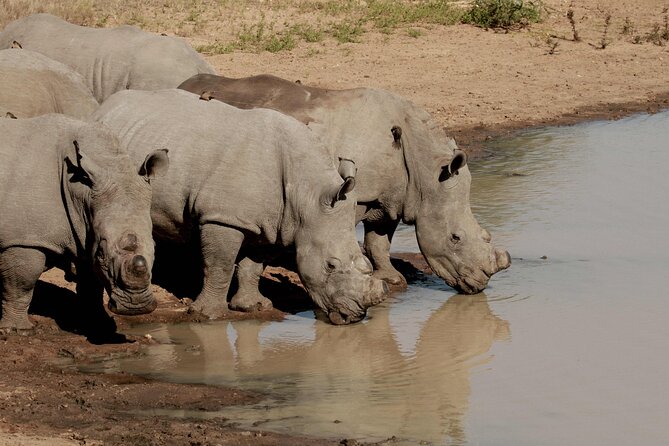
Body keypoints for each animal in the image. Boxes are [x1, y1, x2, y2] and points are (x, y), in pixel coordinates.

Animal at [0, 113, 167, 332]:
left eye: (155, 248)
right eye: (101, 253)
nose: (136, 307)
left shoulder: (86, 230)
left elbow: (91, 284)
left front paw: (97, 323)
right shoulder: (25, 238)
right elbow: (22, 283)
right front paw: (18, 329)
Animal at [92, 89, 388, 324]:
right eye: (330, 265)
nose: (355, 316)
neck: (306, 195)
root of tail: (107, 105)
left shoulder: (275, 224)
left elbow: (253, 266)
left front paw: (252, 306)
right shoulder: (222, 217)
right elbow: (219, 265)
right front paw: (207, 314)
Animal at [177, 75, 512, 294]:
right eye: (455, 238)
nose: (480, 284)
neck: (425, 170)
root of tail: (182, 85)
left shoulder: (392, 197)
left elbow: (379, 241)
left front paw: (392, 280)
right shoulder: (356, 193)